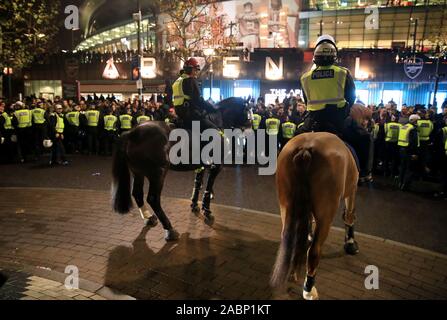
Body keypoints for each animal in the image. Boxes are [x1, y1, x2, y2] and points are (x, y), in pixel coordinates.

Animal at [110, 97, 254, 240]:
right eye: (248, 109)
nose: (251, 128)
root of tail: (132, 133)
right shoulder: (216, 166)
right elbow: (208, 187)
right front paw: (206, 209)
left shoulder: (200, 165)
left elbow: (197, 184)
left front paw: (194, 204)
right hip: (158, 173)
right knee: (153, 198)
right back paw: (169, 228)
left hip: (138, 172)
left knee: (137, 194)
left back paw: (149, 217)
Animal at [272, 104, 372, 300]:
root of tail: (306, 148)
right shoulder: (352, 190)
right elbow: (350, 216)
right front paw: (350, 243)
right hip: (327, 213)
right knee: (314, 252)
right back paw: (309, 289)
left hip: (286, 206)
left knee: (288, 238)